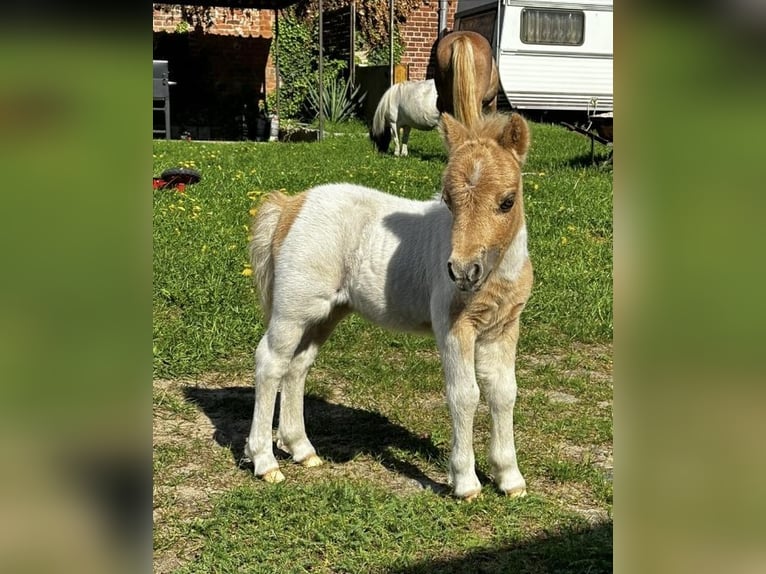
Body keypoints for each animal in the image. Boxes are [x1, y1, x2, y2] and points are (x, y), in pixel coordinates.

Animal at [246, 111, 536, 500]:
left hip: (324, 314)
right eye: (448, 200)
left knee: (297, 366)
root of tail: (292, 205)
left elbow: (503, 393)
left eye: (507, 201)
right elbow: (465, 394)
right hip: (292, 310)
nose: (462, 271)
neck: (496, 273)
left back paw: (302, 450)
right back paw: (265, 462)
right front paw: (466, 482)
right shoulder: (453, 327)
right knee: (271, 363)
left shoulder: (502, 328)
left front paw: (510, 479)